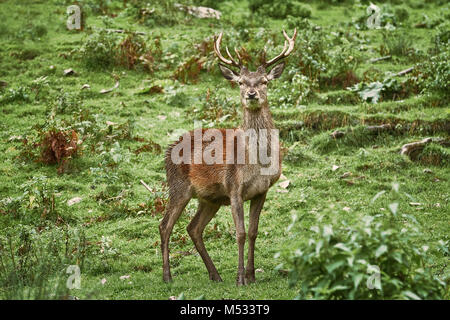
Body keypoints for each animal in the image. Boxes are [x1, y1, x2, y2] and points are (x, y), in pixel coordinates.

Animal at [160, 29, 298, 284]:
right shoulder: (234, 188)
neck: (257, 163)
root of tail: (168, 149)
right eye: (240, 82)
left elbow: (253, 232)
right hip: (178, 186)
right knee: (165, 226)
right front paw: (240, 278)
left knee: (193, 228)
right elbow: (240, 233)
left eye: (264, 82)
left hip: (210, 198)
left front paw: (252, 275)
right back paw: (167, 276)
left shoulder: (262, 190)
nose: (251, 94)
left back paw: (215, 275)